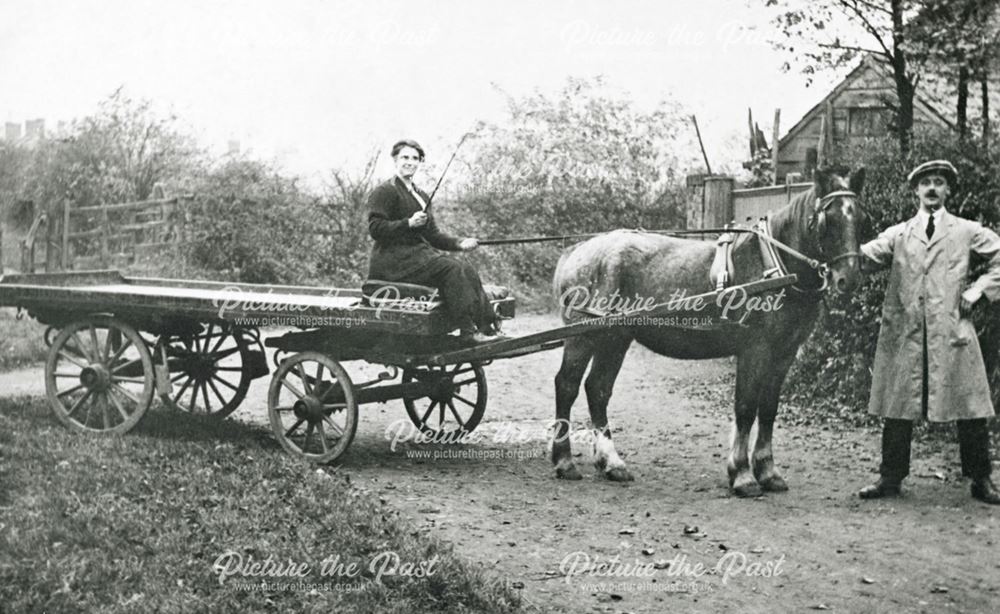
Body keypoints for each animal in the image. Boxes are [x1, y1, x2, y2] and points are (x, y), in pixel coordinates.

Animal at [552, 166, 864, 498]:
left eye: (861, 216)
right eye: (828, 218)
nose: (848, 279)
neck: (773, 266)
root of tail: (579, 249)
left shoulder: (785, 353)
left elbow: (768, 409)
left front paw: (768, 472)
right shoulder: (755, 349)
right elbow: (745, 408)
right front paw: (742, 475)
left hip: (614, 338)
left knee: (598, 389)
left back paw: (612, 463)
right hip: (583, 336)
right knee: (567, 385)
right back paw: (564, 462)